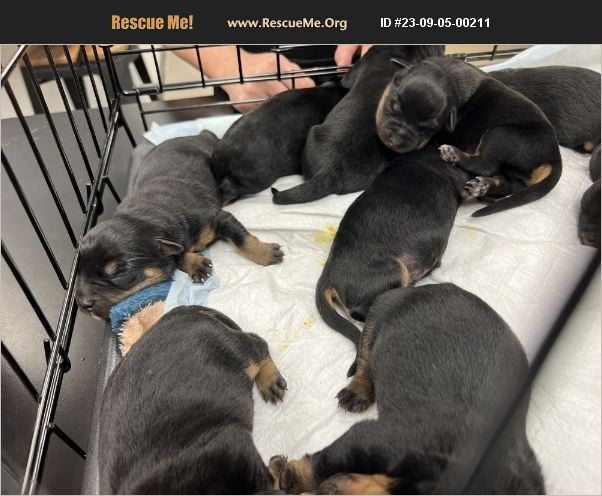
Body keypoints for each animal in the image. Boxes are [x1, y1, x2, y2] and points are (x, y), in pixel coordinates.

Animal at [75, 131, 283, 320]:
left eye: (118, 272)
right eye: (78, 271)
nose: (82, 304)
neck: (147, 214)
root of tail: (197, 134)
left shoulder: (219, 218)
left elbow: (242, 239)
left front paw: (266, 253)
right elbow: (178, 254)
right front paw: (195, 264)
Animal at [270, 284, 544, 494]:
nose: (328, 490)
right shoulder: (375, 438)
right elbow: (322, 463)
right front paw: (291, 477)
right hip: (379, 317)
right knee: (366, 359)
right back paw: (357, 392)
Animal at [376, 57, 562, 217]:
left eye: (429, 128)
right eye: (393, 105)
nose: (395, 141)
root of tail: (555, 156)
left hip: (502, 135)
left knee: (487, 164)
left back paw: (454, 155)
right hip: (516, 169)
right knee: (511, 184)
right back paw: (484, 187)